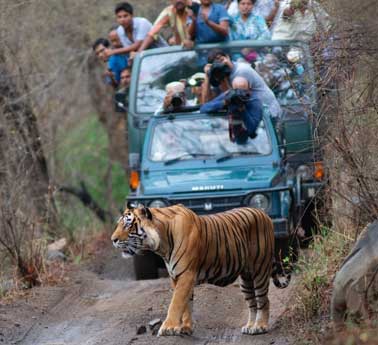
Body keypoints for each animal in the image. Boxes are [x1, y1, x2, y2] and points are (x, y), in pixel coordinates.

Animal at [110, 203, 290, 334]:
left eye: (128, 225)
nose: (113, 240)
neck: (162, 245)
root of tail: (264, 214)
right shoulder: (176, 276)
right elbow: (186, 303)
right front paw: (184, 328)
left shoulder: (186, 274)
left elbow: (176, 303)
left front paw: (168, 328)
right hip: (246, 279)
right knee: (252, 303)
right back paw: (250, 326)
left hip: (260, 270)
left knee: (263, 300)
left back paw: (260, 327)